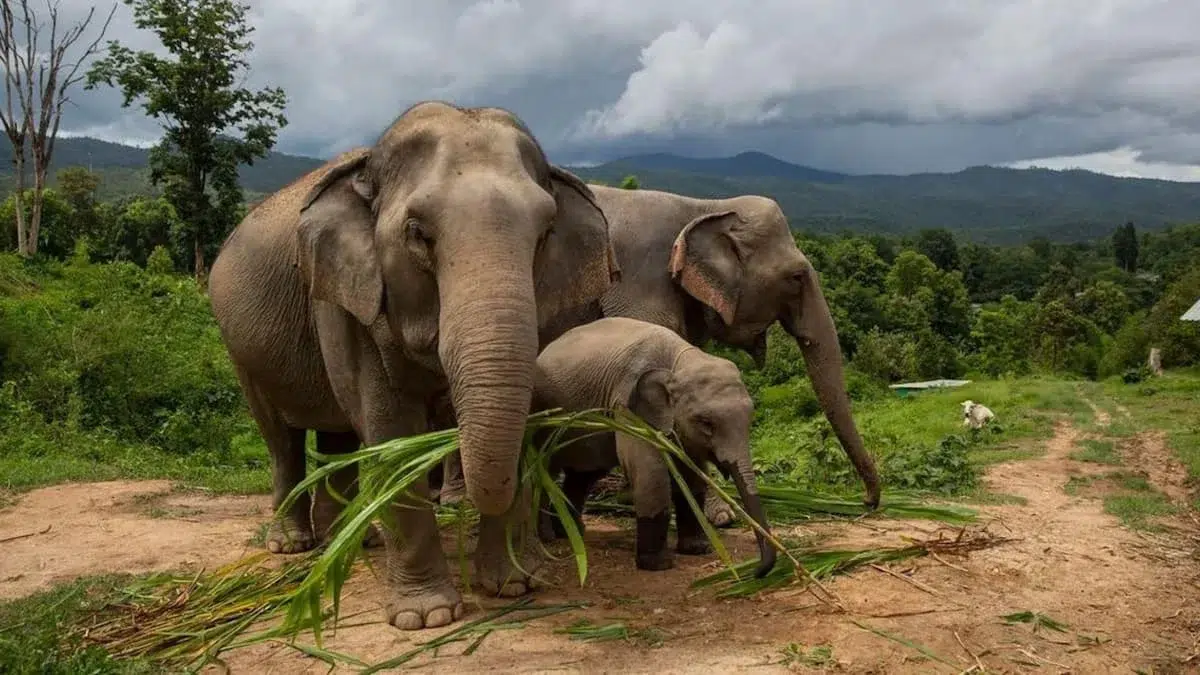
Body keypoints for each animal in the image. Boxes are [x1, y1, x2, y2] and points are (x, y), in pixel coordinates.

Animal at [207, 101, 620, 631]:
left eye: (545, 234)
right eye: (418, 235)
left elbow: (523, 418)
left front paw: (512, 586)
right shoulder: (348, 299)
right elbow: (392, 433)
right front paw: (427, 617)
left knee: (339, 440)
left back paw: (354, 541)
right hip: (238, 348)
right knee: (282, 440)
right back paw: (293, 545)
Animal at [529, 317, 777, 577]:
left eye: (750, 418)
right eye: (706, 423)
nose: (755, 571)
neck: (679, 361)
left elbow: (692, 476)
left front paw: (697, 549)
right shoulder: (627, 405)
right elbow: (651, 474)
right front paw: (658, 565)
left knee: (584, 475)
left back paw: (571, 532)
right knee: (546, 470)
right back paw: (548, 537)